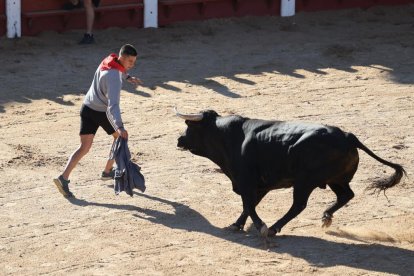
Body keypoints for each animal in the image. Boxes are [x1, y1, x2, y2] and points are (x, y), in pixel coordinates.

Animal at [176, 109, 406, 238]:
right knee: (346, 195)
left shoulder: (246, 181)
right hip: (336, 179)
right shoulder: (262, 185)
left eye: (190, 127)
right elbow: (250, 205)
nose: (179, 140)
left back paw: (274, 228)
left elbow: (249, 204)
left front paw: (260, 226)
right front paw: (236, 225)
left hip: (305, 181)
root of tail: (349, 136)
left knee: (299, 205)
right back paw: (326, 216)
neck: (227, 137)